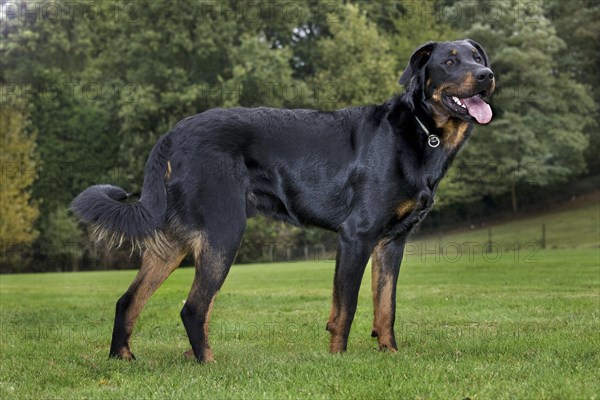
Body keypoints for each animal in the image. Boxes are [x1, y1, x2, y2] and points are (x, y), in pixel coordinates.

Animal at [72, 39, 496, 360]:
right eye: (450, 62)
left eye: (478, 58)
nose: (487, 76)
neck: (422, 132)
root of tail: (173, 135)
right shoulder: (356, 236)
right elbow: (346, 309)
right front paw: (338, 361)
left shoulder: (392, 243)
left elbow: (385, 308)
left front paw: (390, 355)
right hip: (224, 232)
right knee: (194, 309)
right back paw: (208, 364)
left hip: (173, 241)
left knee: (128, 301)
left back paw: (122, 359)